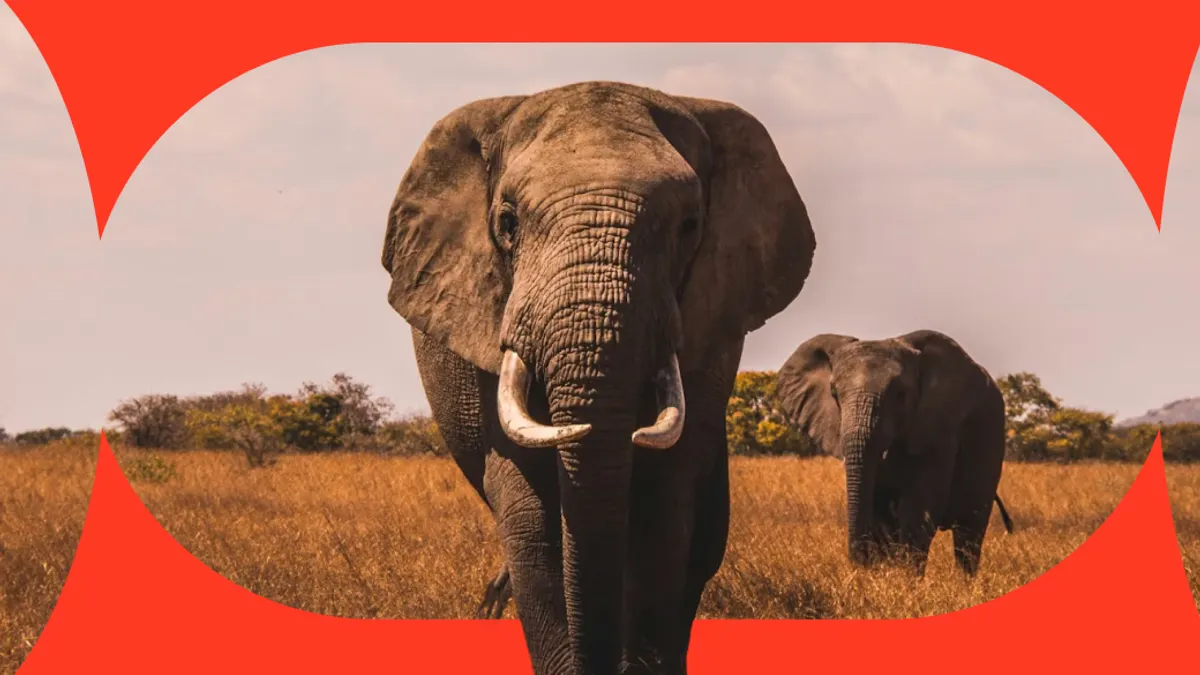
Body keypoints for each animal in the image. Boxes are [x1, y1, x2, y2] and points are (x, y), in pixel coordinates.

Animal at [774, 330, 1014, 576]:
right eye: (834, 393)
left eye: (900, 394)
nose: (859, 566)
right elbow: (882, 515)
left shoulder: (940, 428)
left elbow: (919, 510)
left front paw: (907, 580)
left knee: (969, 531)